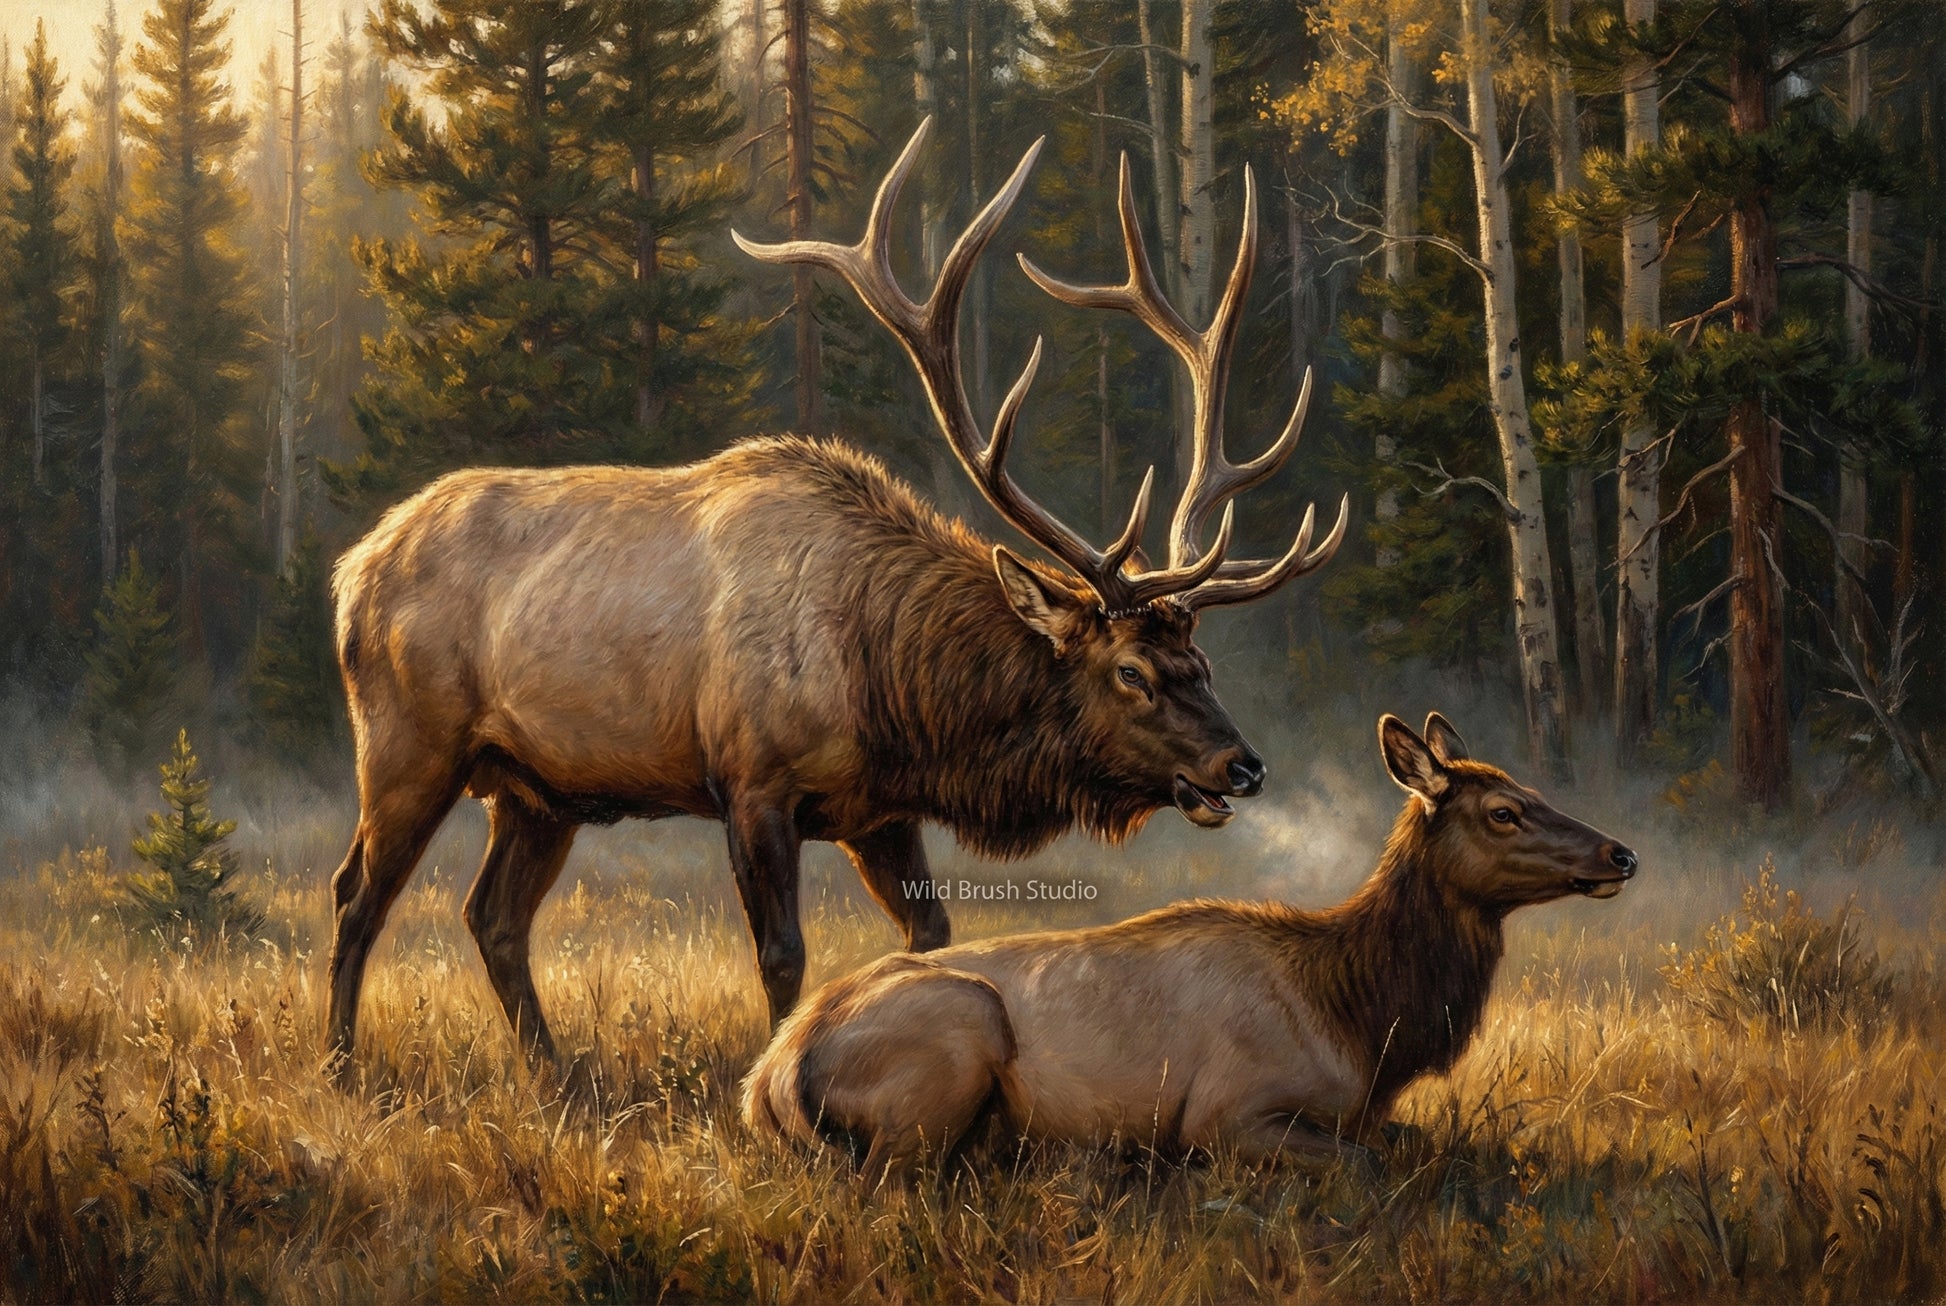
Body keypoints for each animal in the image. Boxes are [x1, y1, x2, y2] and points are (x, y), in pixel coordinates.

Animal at [321, 118, 1345, 1078]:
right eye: (1131, 670)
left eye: (1201, 661)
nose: (1243, 766)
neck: (890, 685)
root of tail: (352, 572)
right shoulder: (752, 783)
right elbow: (783, 956)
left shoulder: (883, 809)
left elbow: (930, 939)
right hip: (410, 745)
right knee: (356, 892)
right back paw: (341, 1066)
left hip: (538, 789)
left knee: (491, 916)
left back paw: (556, 1072)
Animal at [742, 713, 1639, 1182]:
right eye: (1503, 812)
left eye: (1532, 792)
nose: (1621, 853)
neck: (1362, 1021)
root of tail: (769, 1080)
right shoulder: (1223, 1112)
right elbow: (1366, 1166)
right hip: (957, 1037)